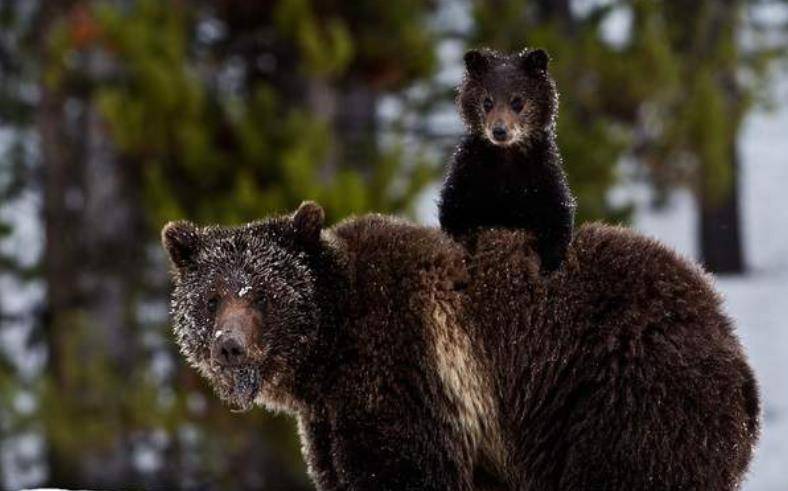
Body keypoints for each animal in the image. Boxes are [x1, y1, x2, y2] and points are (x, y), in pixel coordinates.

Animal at [163, 202, 760, 490]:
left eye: (263, 293)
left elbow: (400, 470)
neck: (328, 357)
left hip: (625, 400)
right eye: (212, 298)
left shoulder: (408, 375)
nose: (229, 346)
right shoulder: (333, 419)